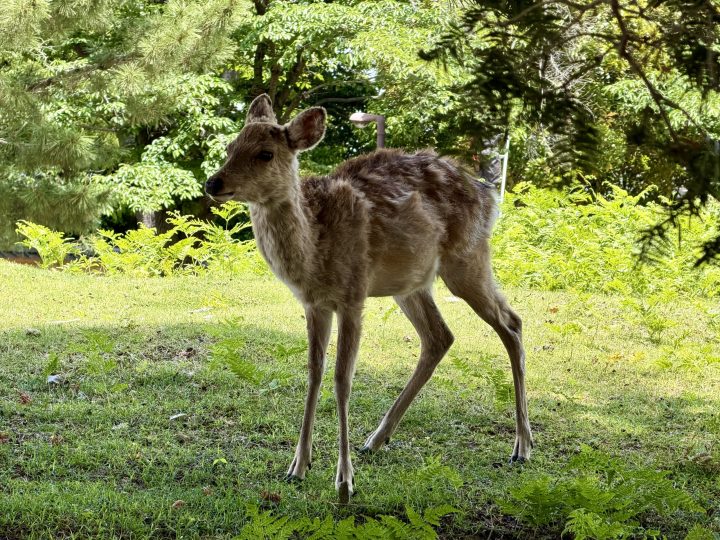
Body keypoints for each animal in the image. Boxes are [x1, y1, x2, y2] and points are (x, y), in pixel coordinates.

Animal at [205, 94, 533, 504]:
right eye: (230, 147)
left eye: (265, 154)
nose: (213, 182)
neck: (314, 246)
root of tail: (489, 198)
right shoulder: (314, 304)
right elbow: (313, 373)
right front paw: (298, 466)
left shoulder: (353, 295)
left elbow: (342, 379)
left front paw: (344, 481)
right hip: (410, 285)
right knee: (440, 336)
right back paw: (376, 439)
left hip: (467, 258)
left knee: (511, 322)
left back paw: (522, 446)